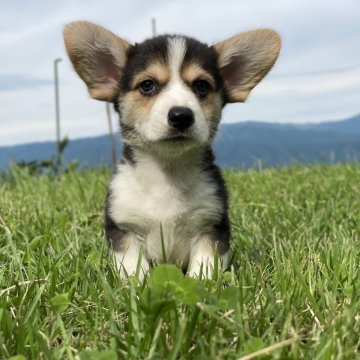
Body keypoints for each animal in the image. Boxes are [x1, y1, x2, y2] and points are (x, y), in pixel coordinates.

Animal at [63, 21, 280, 282]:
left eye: (201, 86)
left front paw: (202, 284)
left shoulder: (211, 225)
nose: (181, 115)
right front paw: (137, 285)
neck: (168, 173)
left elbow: (204, 268)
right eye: (147, 85)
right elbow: (134, 268)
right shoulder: (125, 227)